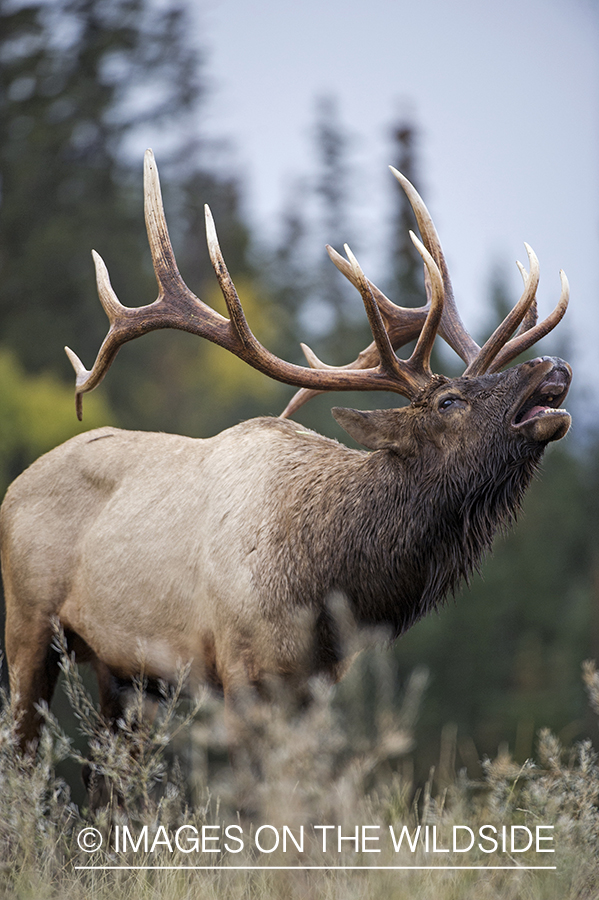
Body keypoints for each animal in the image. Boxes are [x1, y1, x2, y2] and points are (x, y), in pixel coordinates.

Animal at [1, 149, 572, 752]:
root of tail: (15, 485)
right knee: (23, 747)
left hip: (121, 673)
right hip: (29, 625)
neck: (327, 582)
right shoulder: (240, 668)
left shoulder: (315, 685)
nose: (549, 365)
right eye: (448, 400)